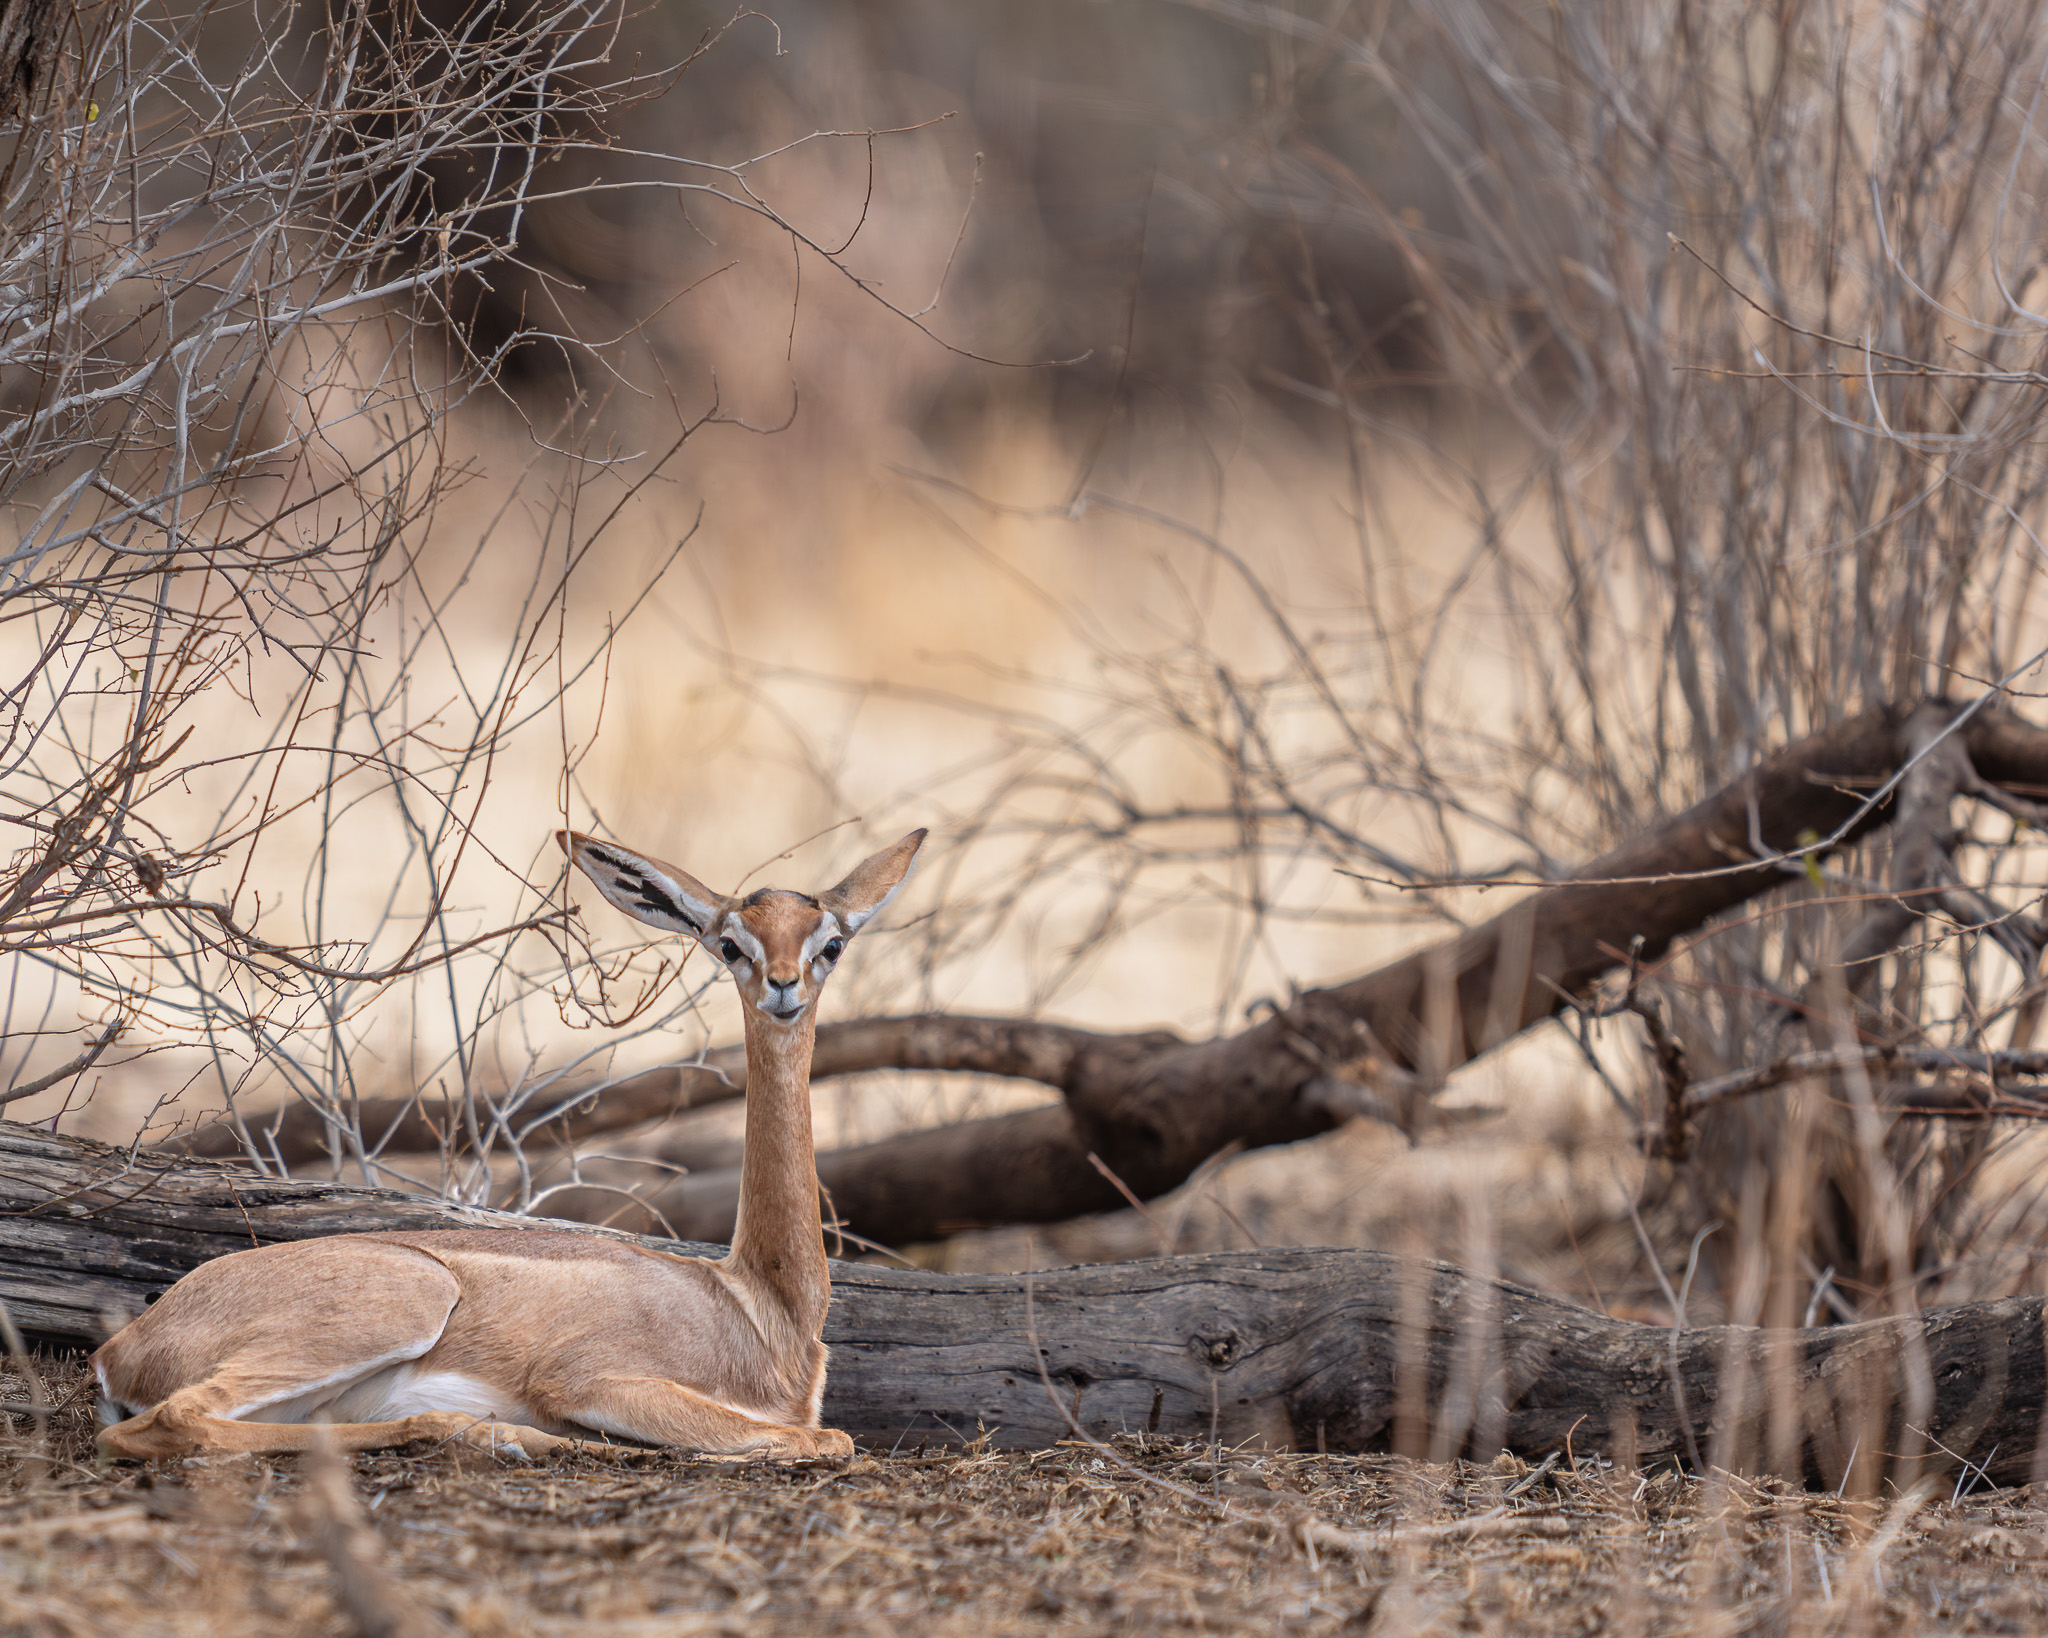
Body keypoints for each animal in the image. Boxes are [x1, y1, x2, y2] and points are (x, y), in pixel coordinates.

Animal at [92, 827, 926, 1463]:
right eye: (730, 944)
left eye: (831, 944)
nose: (783, 985)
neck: (761, 1310)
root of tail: (120, 1345)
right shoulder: (591, 1380)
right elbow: (827, 1440)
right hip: (395, 1307)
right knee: (167, 1422)